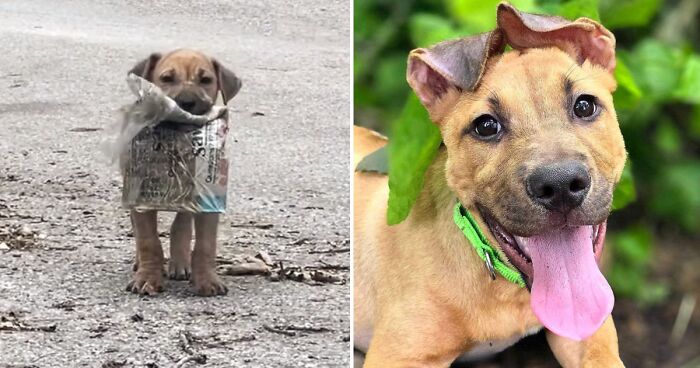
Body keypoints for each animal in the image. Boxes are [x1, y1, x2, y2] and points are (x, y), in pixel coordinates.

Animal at [126, 49, 243, 296]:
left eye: (206, 80)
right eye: (167, 78)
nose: (187, 103)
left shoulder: (209, 200)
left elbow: (205, 244)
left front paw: (207, 280)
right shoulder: (140, 199)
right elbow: (148, 241)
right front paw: (147, 278)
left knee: (181, 223)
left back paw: (180, 263)